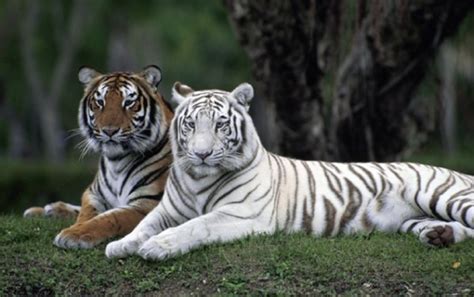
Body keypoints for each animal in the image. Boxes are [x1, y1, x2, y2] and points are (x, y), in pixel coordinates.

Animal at [105, 81, 474, 260]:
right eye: (191, 124)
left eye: (221, 124)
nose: (202, 154)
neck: (198, 180)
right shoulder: (167, 210)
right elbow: (143, 225)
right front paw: (120, 245)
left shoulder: (242, 215)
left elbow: (197, 225)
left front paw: (157, 247)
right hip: (415, 218)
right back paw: (440, 236)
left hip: (445, 195)